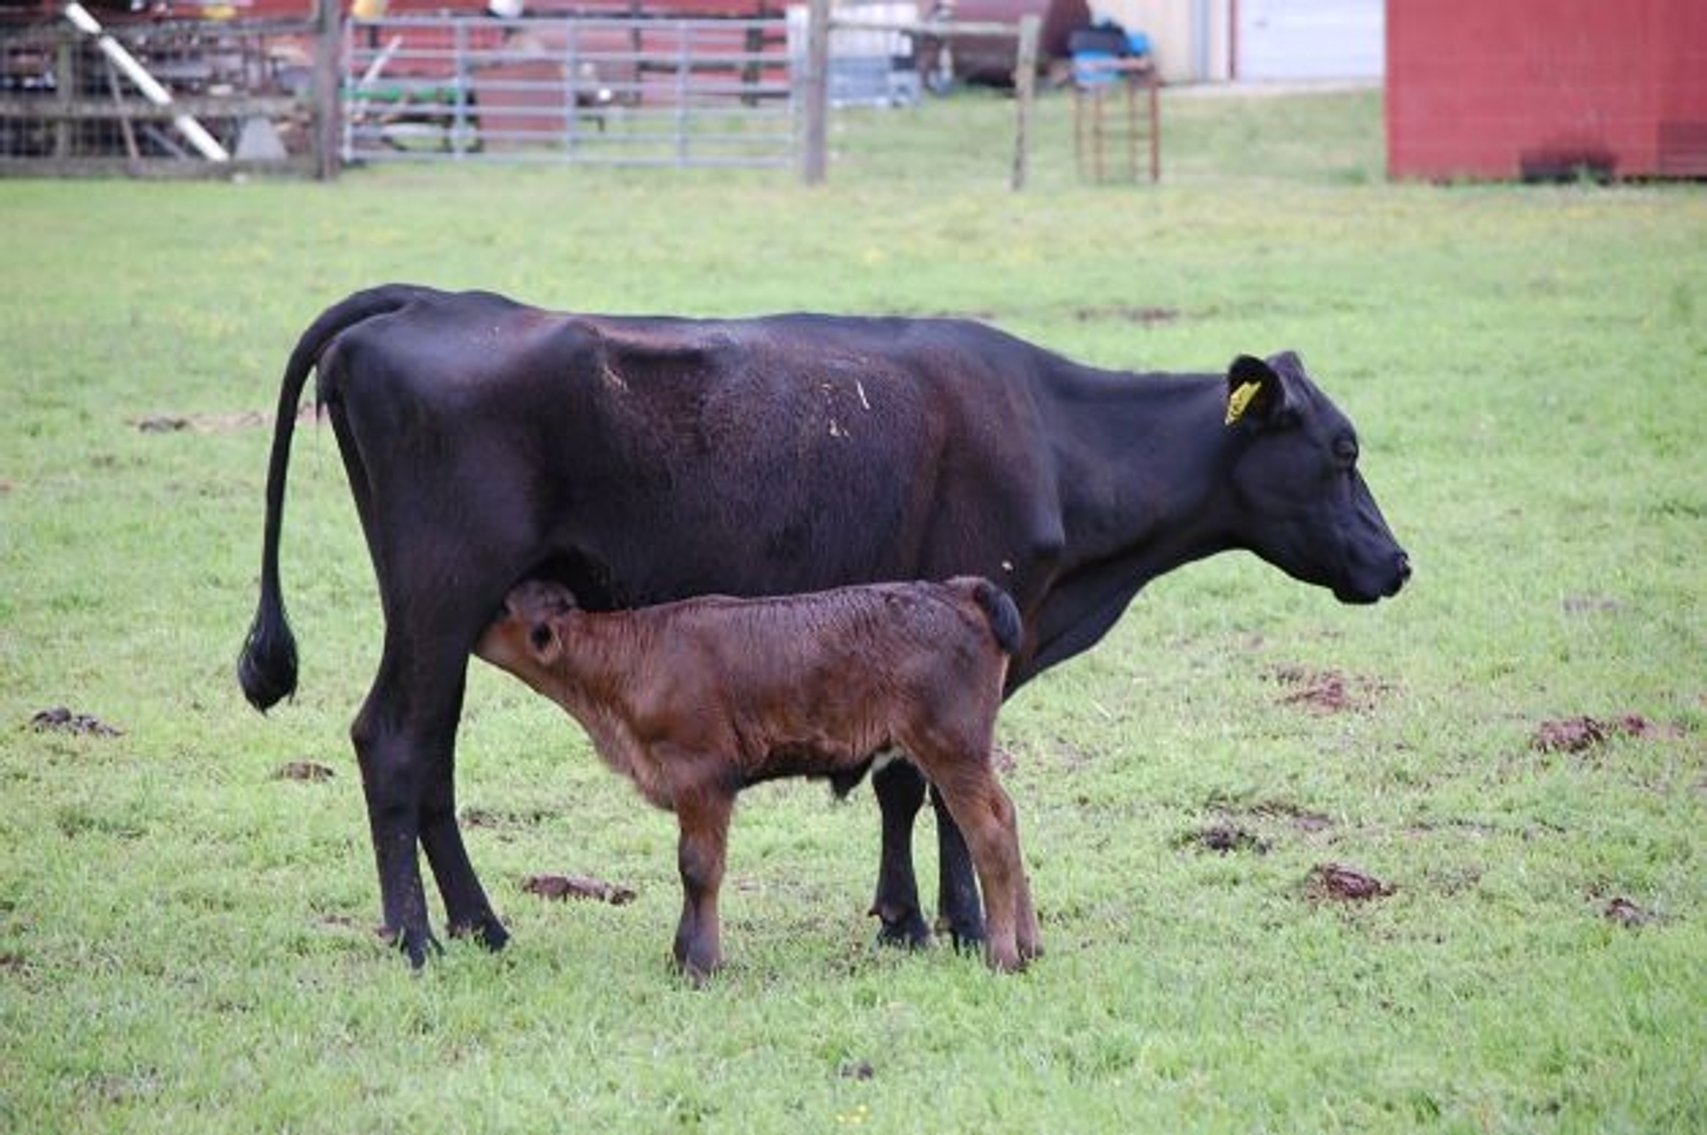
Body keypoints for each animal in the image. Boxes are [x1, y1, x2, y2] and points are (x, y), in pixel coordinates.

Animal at [475, 576, 1040, 976]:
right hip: (965, 752)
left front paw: (699, 963)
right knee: (1008, 814)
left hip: (950, 748)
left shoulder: (702, 775)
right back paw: (1030, 944)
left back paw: (1002, 955)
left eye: (502, 608)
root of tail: (958, 588)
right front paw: (681, 957)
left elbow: (698, 867)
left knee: (988, 832)